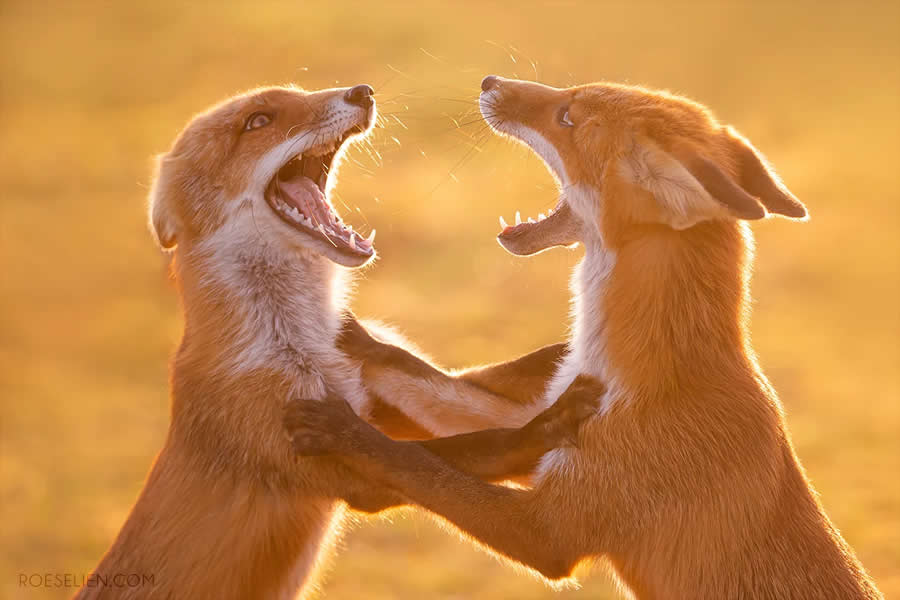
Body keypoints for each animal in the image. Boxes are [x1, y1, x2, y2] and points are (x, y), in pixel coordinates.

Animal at [75, 83, 602, 600]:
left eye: (299, 92)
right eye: (258, 121)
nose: (362, 91)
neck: (299, 344)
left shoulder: (383, 390)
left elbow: (471, 389)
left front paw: (564, 356)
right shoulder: (322, 461)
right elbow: (455, 449)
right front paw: (549, 423)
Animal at [284, 77, 884, 599]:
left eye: (567, 117)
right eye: (569, 97)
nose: (489, 81)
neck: (631, 370)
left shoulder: (550, 529)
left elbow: (417, 464)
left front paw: (343, 431)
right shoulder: (544, 420)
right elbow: (427, 385)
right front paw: (354, 338)